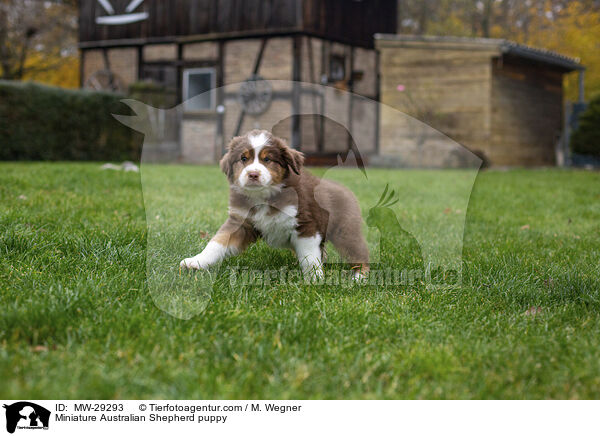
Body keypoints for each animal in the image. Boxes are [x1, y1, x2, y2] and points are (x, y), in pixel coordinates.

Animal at [178, 129, 368, 280]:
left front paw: (314, 280)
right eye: (243, 158)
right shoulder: (240, 222)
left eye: (268, 159)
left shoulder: (305, 226)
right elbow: (217, 242)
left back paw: (359, 277)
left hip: (345, 231)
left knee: (359, 253)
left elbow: (309, 257)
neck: (263, 197)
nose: (253, 174)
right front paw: (196, 261)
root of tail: (343, 188)